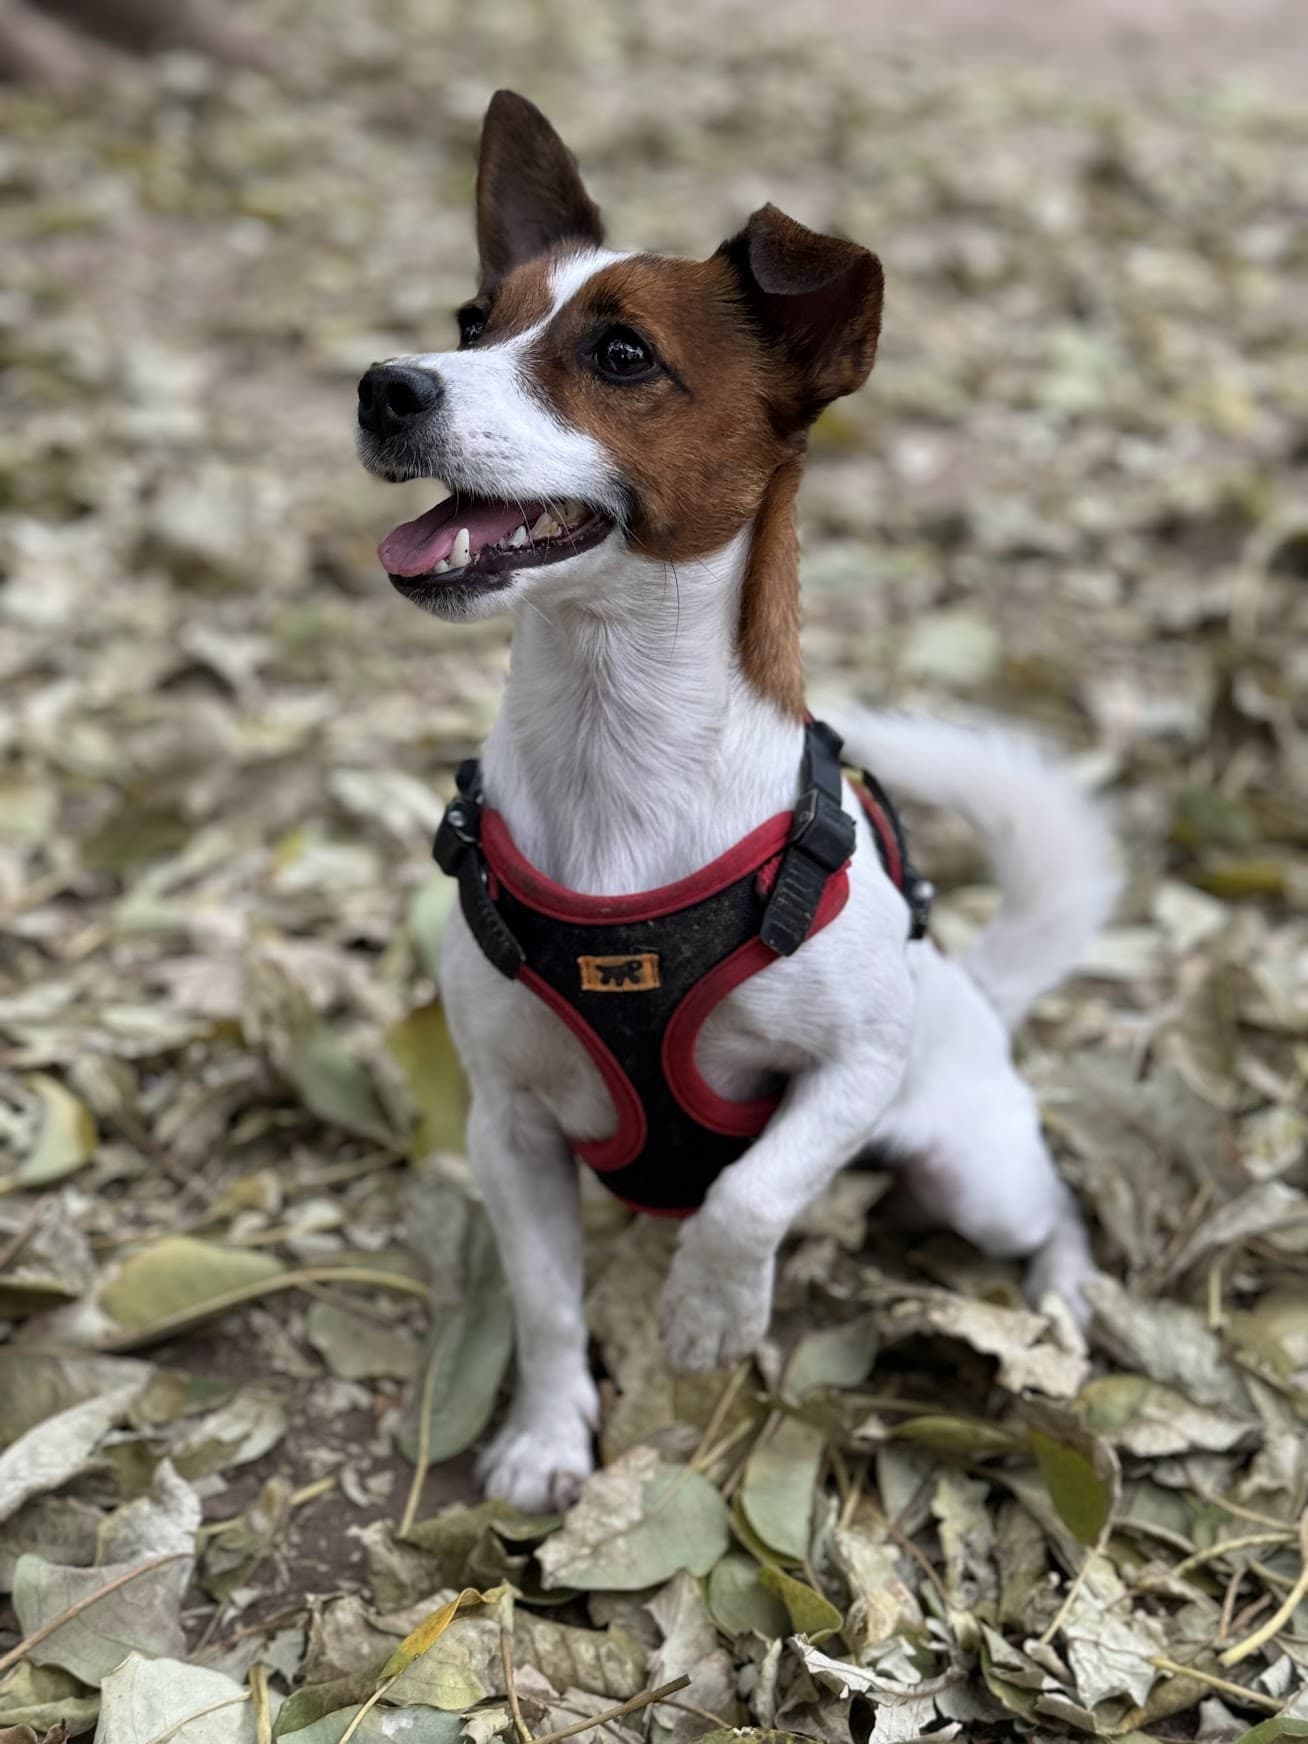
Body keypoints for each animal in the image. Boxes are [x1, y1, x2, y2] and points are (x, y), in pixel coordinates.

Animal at [356, 90, 1119, 1514]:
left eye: (620, 354)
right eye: (472, 321)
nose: (385, 385)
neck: (617, 756)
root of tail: (980, 997)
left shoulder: (854, 1071)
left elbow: (751, 1193)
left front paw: (712, 1311)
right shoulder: (510, 1131)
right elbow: (546, 1304)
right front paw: (547, 1438)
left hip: (969, 1165)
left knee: (1046, 1209)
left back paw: (1065, 1295)